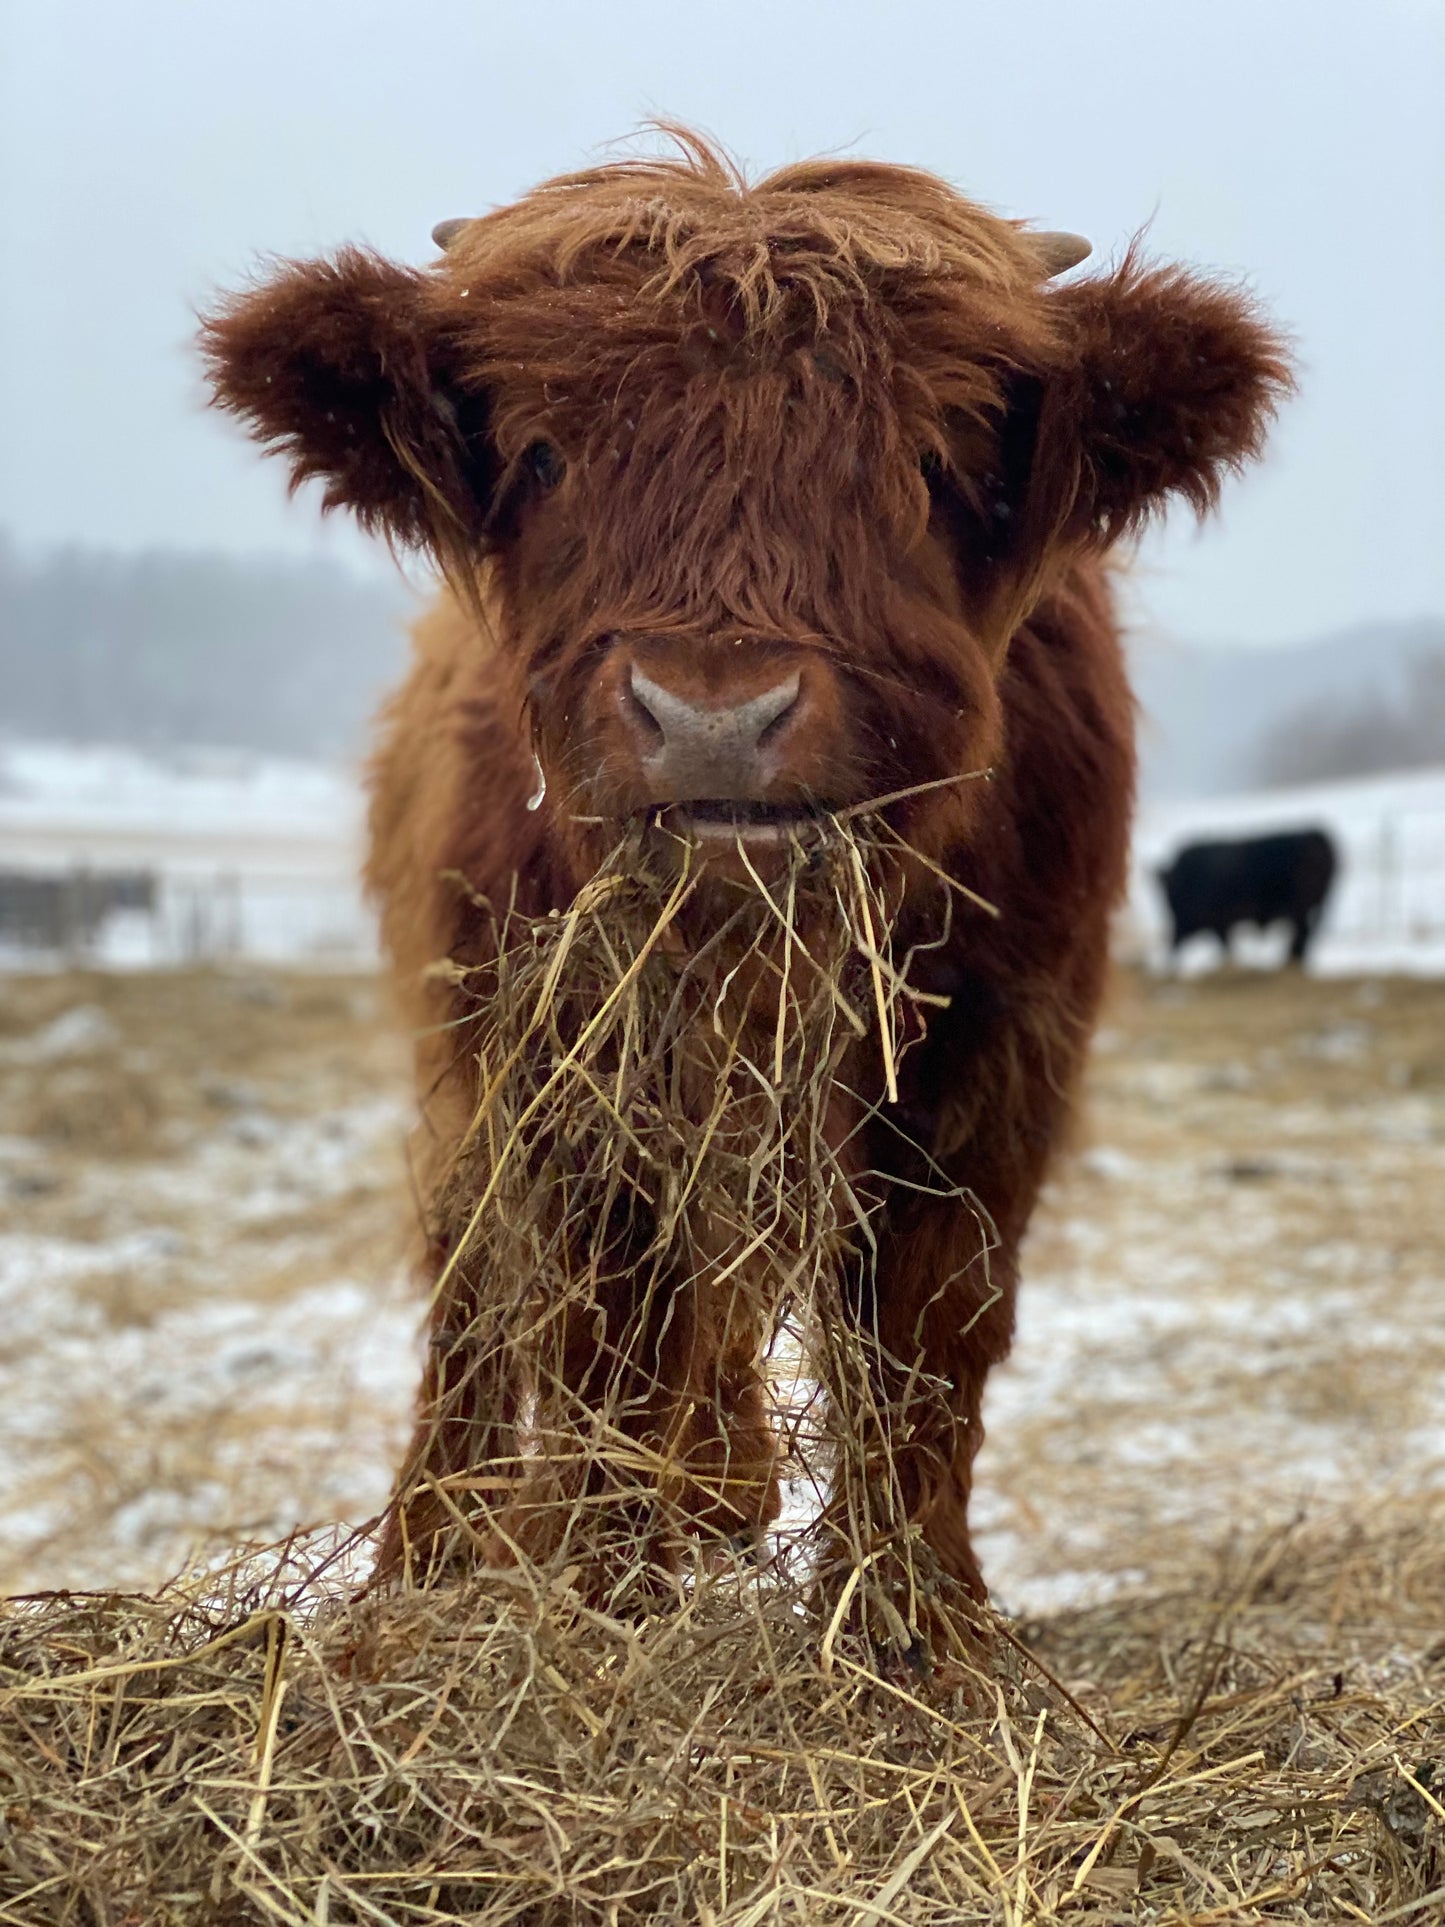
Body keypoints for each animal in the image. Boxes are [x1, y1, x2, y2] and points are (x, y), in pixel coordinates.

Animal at [202, 132, 1290, 1621]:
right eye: (544, 453)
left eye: (934, 457)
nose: (712, 713)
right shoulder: (564, 1074)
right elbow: (600, 1332)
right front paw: (599, 1592)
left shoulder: (994, 1062)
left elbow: (927, 1338)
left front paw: (918, 1623)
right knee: (475, 1283)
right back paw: (439, 1545)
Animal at [1159, 828, 1337, 965]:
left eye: (1171, 901)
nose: (1170, 955)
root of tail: (1318, 837)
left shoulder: (1219, 922)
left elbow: (1226, 946)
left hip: (1302, 907)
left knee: (1303, 934)